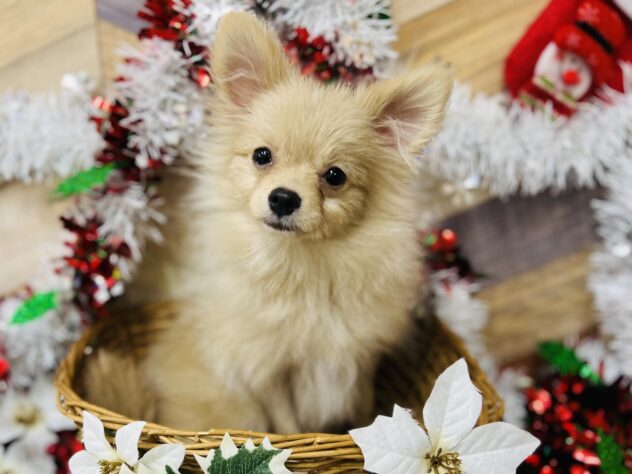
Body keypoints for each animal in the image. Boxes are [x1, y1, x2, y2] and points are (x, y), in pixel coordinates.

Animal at [86, 11, 453, 434]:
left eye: (335, 176)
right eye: (262, 156)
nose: (283, 197)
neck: (307, 269)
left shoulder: (361, 362)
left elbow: (363, 416)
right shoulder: (270, 374)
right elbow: (290, 429)